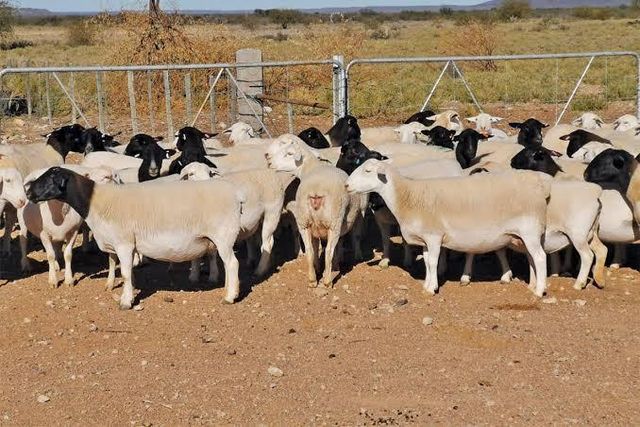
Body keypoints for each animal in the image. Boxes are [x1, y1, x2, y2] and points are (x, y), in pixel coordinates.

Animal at [26, 167, 243, 308]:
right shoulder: (123, 245)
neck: (95, 202)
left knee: (232, 263)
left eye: (49, 178)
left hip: (224, 236)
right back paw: (228, 289)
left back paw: (230, 297)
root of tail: (236, 196)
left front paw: (125, 302)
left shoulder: (124, 243)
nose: (28, 192)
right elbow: (127, 271)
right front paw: (129, 293)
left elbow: (124, 273)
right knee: (228, 264)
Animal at [265, 134, 366, 287]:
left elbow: (316, 246)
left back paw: (313, 279)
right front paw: (335, 265)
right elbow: (334, 248)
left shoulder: (314, 227)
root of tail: (316, 191)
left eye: (289, 153)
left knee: (309, 250)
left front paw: (319, 267)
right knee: (329, 251)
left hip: (304, 221)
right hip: (334, 222)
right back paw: (328, 281)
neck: (311, 167)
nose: (268, 160)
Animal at [346, 159, 551, 297]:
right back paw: (532, 285)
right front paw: (427, 285)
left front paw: (432, 288)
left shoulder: (434, 236)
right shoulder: (425, 239)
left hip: (530, 231)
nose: (347, 185)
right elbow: (426, 261)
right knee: (532, 258)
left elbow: (433, 262)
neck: (408, 197)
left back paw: (539, 291)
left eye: (368, 170)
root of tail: (539, 186)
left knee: (540, 258)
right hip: (525, 236)